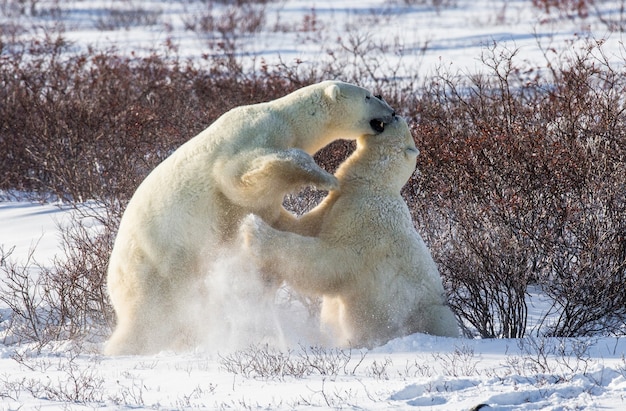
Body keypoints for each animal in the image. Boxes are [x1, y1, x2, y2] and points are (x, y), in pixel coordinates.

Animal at [104, 81, 392, 358]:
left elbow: (273, 216)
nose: (390, 111)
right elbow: (238, 176)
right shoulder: (250, 137)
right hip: (155, 261)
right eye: (368, 96)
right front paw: (327, 179)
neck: (287, 119)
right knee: (152, 312)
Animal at [239, 117, 458, 350]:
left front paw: (254, 228)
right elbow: (305, 226)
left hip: (425, 314)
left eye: (401, 123)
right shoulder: (334, 204)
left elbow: (329, 261)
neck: (371, 186)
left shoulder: (366, 221)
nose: (395, 114)